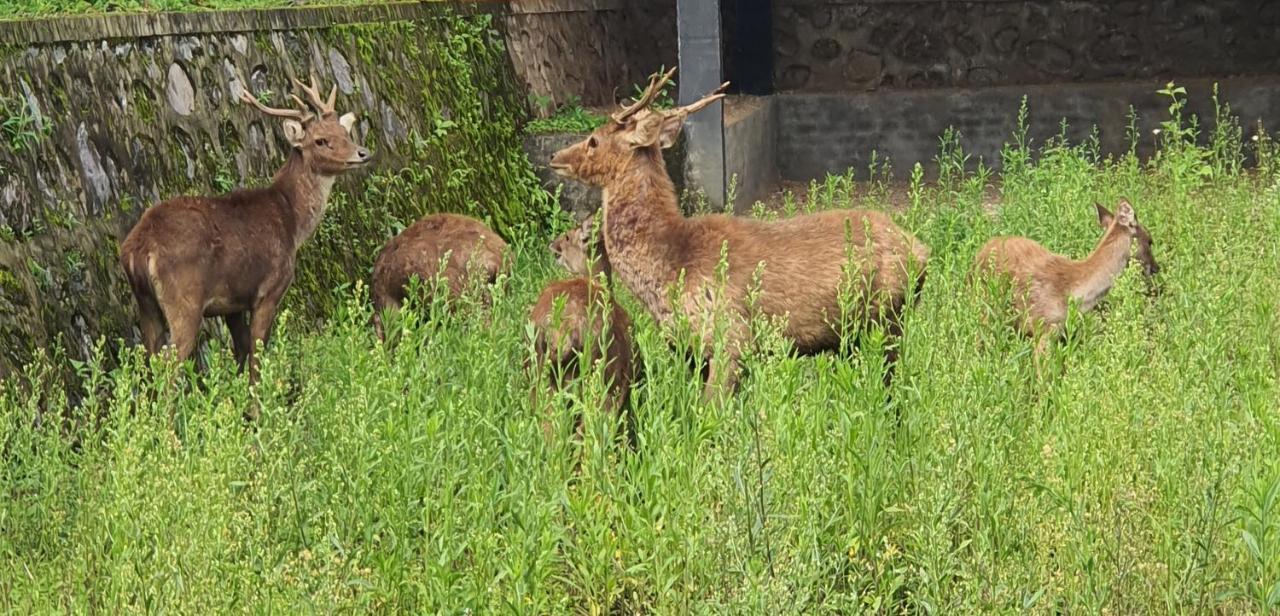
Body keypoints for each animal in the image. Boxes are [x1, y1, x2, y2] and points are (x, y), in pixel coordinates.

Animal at [119, 74, 371, 376]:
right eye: (321, 140)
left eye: (344, 132)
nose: (363, 153)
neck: (291, 221)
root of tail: (138, 248)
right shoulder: (269, 289)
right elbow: (256, 356)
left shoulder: (232, 304)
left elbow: (240, 352)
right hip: (184, 299)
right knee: (169, 361)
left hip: (145, 303)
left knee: (147, 359)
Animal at [547, 67, 931, 402]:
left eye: (593, 140)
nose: (555, 156)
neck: (670, 263)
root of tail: (920, 251)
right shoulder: (692, 350)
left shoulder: (731, 337)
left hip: (885, 319)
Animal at [972, 197, 1167, 368]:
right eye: (1150, 240)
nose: (1156, 268)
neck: (1076, 292)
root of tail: (980, 252)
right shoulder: (1045, 327)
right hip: (985, 307)